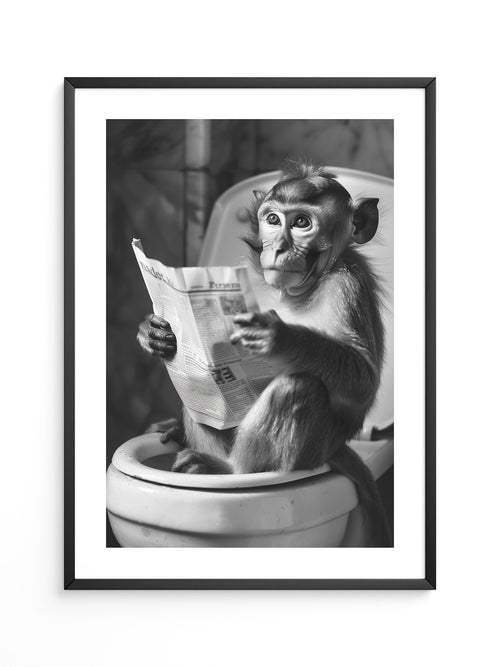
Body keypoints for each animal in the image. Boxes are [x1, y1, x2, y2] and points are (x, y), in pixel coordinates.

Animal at [137, 160, 391, 546]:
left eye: (302, 223)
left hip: (312, 450)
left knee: (297, 387)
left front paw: (281, 337)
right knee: (202, 394)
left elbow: (363, 378)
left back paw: (227, 470)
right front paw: (156, 334)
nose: (279, 248)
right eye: (272, 219)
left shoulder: (349, 285)